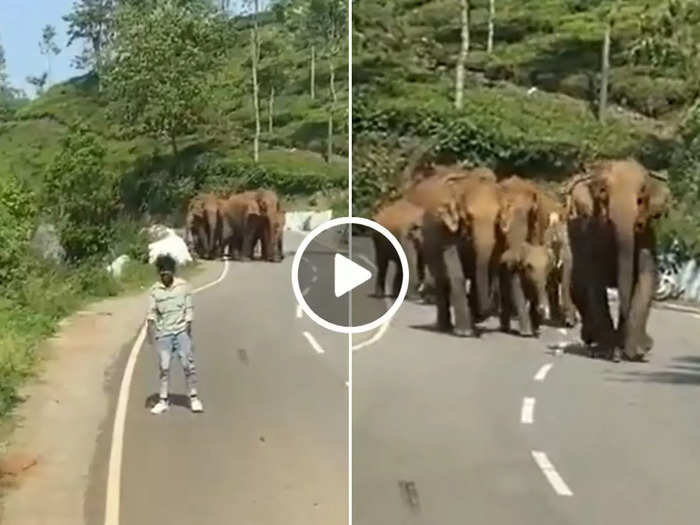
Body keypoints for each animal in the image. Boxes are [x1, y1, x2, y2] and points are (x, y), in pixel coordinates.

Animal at [422, 177, 504, 336]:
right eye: (469, 216)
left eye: (497, 217)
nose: (482, 315)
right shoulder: (447, 231)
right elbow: (456, 272)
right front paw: (464, 332)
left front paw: (475, 322)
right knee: (441, 280)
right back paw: (444, 326)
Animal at [568, 158, 668, 360]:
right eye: (603, 191)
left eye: (642, 193)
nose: (617, 355)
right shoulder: (592, 235)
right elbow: (594, 284)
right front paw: (606, 352)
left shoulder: (646, 240)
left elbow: (646, 279)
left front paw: (637, 353)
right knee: (578, 287)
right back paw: (592, 340)